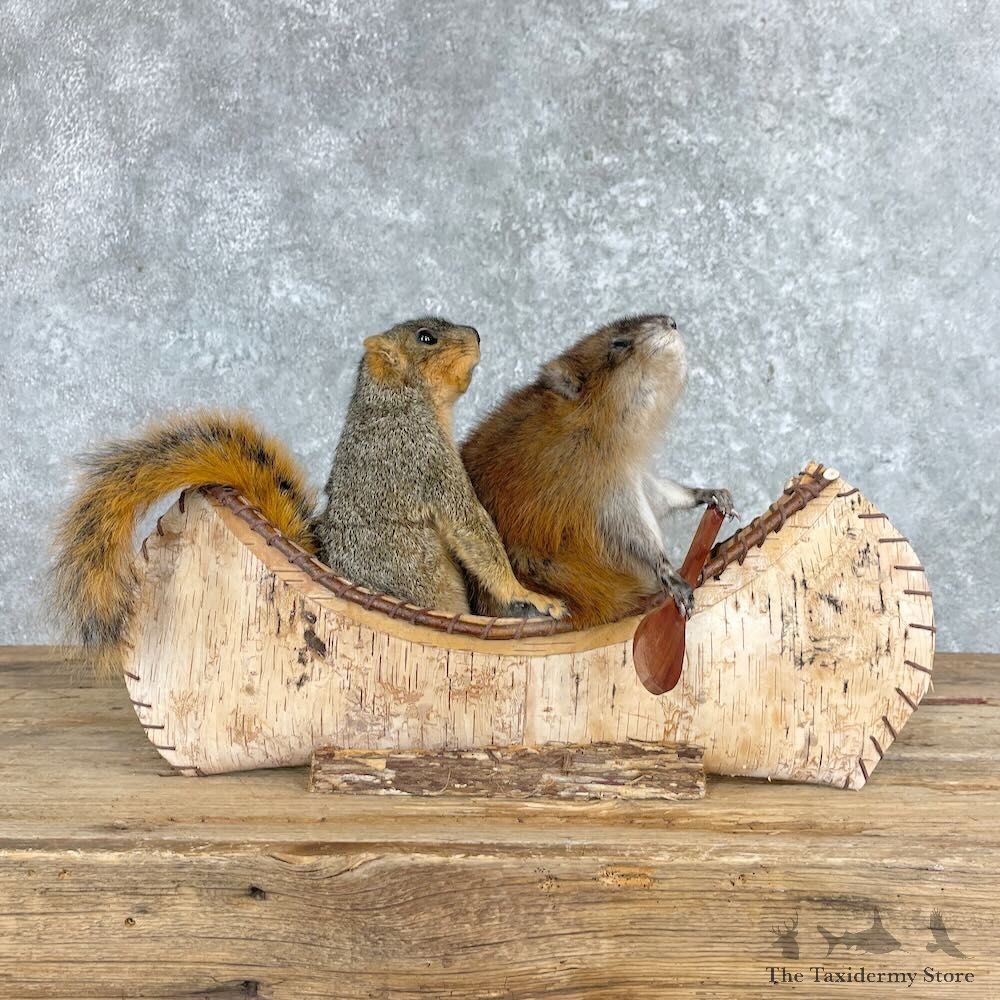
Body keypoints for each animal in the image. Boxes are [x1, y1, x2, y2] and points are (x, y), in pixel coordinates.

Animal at [315, 317, 566, 620]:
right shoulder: (423, 453)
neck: (396, 395)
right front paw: (524, 593)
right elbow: (466, 524)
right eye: (426, 338)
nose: (476, 335)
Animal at [461, 314, 735, 629]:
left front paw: (718, 496)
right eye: (619, 342)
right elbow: (632, 531)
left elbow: (660, 496)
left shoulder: (630, 473)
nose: (671, 322)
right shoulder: (597, 484)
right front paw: (676, 582)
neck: (585, 421)